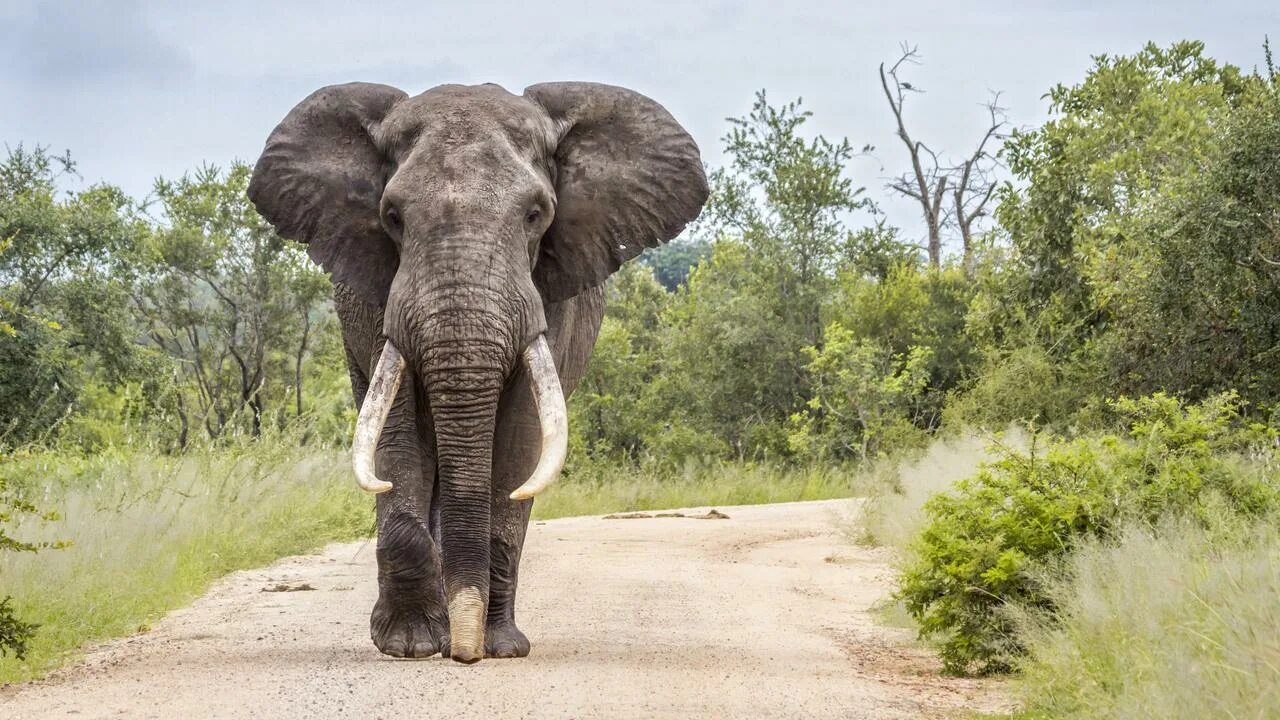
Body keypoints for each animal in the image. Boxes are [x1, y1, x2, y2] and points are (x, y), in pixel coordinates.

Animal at [247, 79, 711, 661]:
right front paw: (411, 644)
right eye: (392, 216)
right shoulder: (381, 295)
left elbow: (518, 441)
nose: (464, 655)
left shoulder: (547, 296)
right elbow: (397, 434)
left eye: (536, 214)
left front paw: (497, 647)